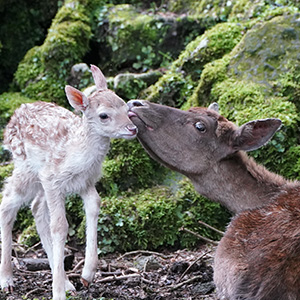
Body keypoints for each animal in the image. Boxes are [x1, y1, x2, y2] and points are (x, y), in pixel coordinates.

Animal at [0, 64, 137, 298]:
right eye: (104, 115)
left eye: (126, 107)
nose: (133, 129)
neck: (77, 157)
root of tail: (12, 120)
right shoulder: (52, 179)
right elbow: (60, 225)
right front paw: (57, 293)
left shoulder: (86, 182)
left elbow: (94, 206)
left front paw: (87, 274)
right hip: (26, 169)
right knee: (7, 203)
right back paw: (7, 279)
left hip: (38, 181)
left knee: (36, 208)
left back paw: (66, 282)